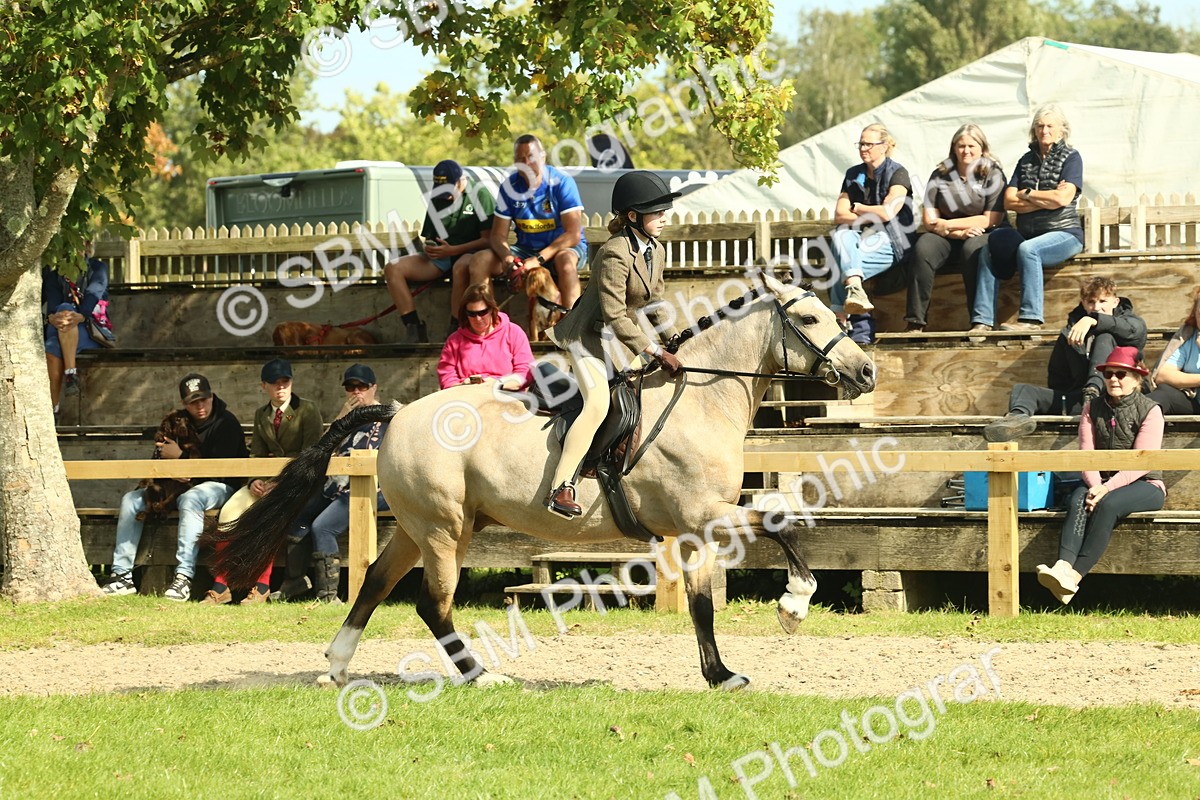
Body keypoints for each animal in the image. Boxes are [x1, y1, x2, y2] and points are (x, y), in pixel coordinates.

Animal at [213, 271, 875, 690]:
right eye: (810, 316)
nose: (866, 371)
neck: (701, 399)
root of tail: (397, 413)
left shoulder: (697, 528)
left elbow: (704, 603)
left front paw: (721, 674)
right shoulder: (702, 515)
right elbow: (777, 522)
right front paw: (793, 605)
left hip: (420, 526)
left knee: (376, 581)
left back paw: (337, 664)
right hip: (445, 530)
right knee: (432, 602)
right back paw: (481, 676)